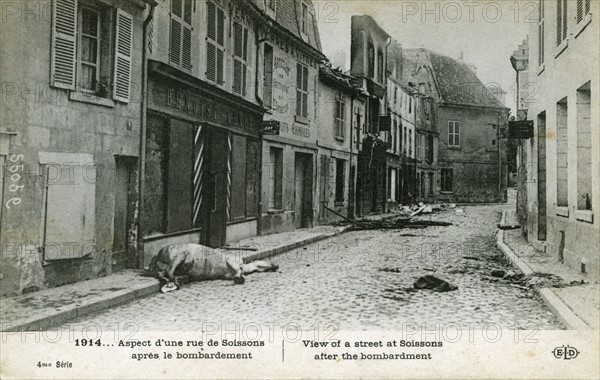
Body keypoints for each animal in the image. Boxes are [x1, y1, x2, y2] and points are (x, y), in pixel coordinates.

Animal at [148, 242, 278, 292]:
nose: (276, 265)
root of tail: (157, 256)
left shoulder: (227, 274)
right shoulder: (231, 261)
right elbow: (238, 271)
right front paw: (239, 278)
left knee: (162, 273)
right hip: (179, 255)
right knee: (169, 270)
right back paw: (176, 281)